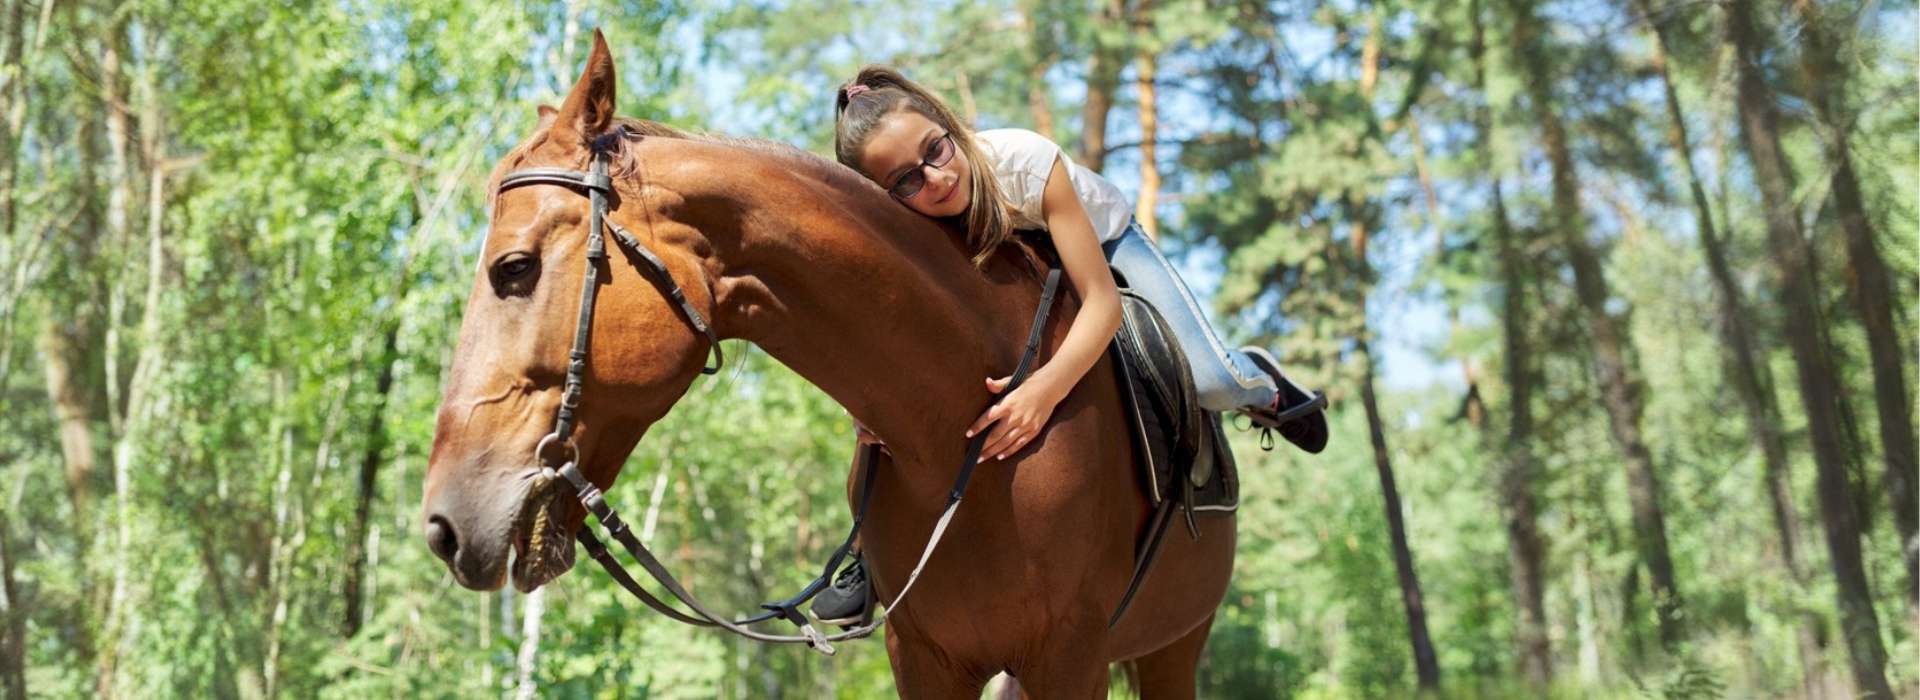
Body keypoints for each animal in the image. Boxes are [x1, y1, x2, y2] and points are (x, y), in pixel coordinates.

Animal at [420, 32, 1236, 698]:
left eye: (515, 269)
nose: (443, 525)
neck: (958, 437)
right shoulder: (926, 657)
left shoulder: (1070, 657)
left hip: (1174, 647)